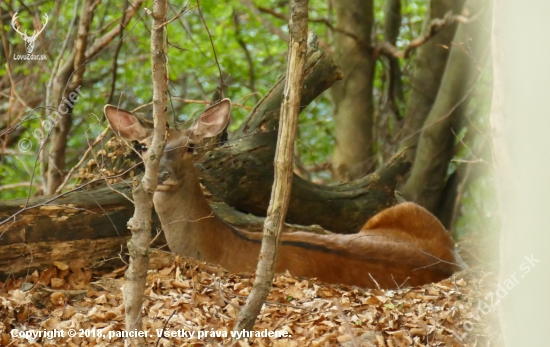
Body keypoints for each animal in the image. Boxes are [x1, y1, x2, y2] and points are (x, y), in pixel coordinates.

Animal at [104, 99, 466, 290]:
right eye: (142, 147)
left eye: (190, 146)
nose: (162, 175)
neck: (216, 246)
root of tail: (451, 258)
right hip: (409, 210)